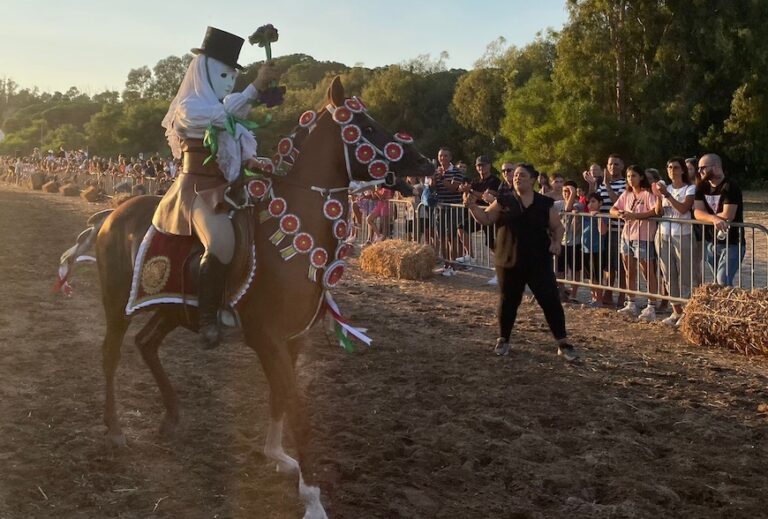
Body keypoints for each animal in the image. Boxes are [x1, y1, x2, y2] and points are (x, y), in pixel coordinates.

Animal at [63, 78, 436, 519]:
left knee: (146, 343)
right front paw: (313, 498)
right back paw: (116, 430)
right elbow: (297, 408)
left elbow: (281, 398)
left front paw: (278, 457)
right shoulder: (268, 338)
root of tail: (112, 214)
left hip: (174, 310)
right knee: (112, 353)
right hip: (117, 302)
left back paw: (171, 417)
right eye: (367, 127)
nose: (426, 162)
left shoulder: (293, 339)